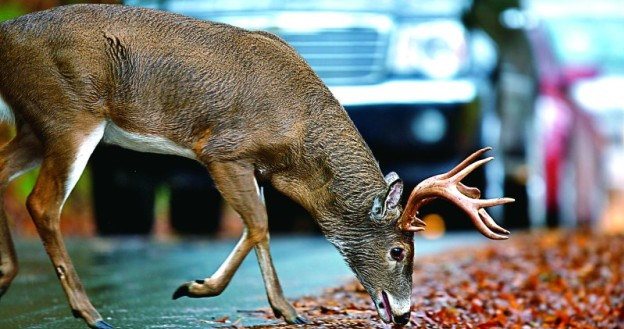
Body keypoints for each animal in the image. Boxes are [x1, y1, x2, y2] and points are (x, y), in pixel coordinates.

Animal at [0, 3, 512, 328]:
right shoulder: (222, 149)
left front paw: (264, 304)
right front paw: (213, 292)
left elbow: (255, 228)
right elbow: (260, 225)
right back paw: (90, 313)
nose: (405, 315)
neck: (299, 142)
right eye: (399, 251)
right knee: (41, 203)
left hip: (33, 126)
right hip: (69, 115)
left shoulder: (255, 168)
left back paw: (7, 277)